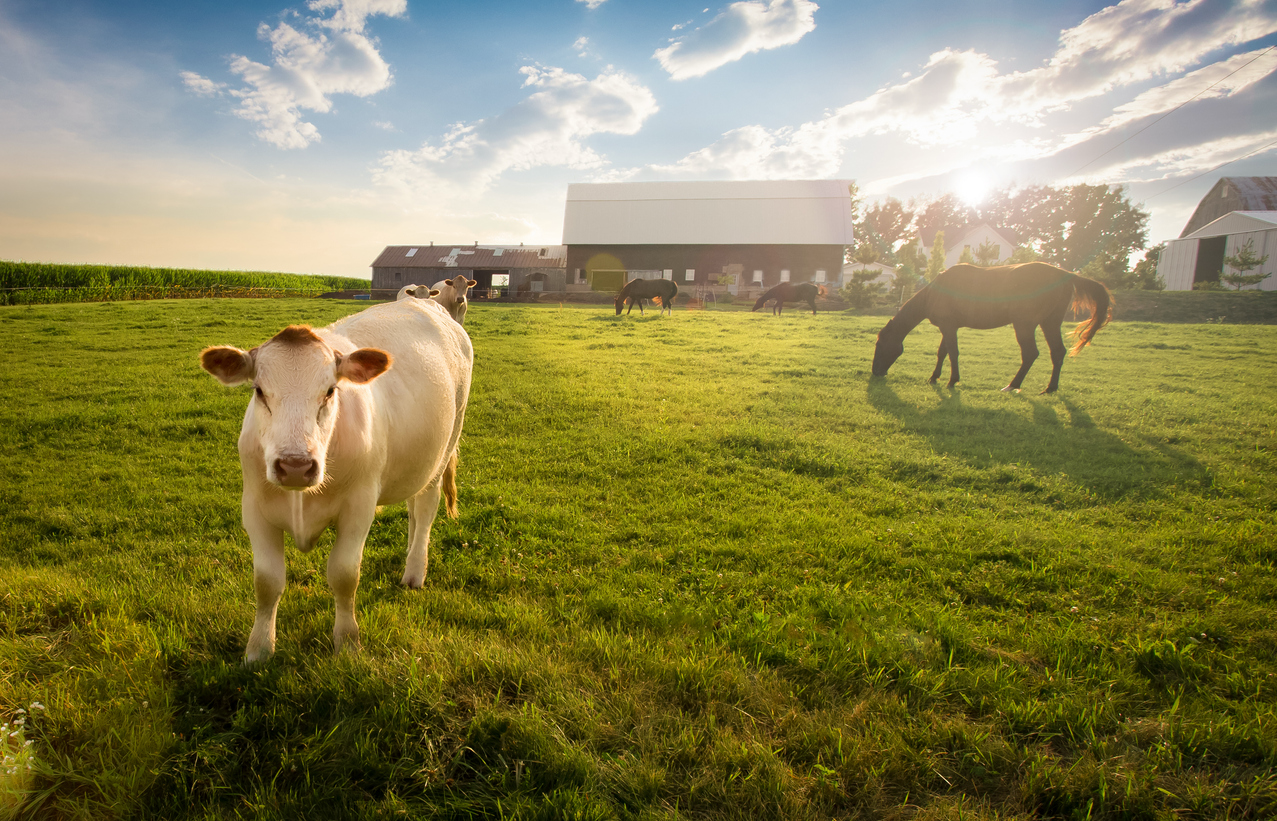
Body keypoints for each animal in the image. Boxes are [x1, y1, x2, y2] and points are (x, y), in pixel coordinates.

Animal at [200, 298, 472, 662]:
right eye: (259, 391)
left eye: (330, 391)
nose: (295, 466)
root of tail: (425, 300)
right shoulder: (254, 508)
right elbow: (266, 582)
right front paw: (259, 649)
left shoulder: (359, 508)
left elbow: (344, 576)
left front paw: (347, 643)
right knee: (414, 511)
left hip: (444, 448)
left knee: (426, 508)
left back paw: (415, 570)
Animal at [871, 262, 1112, 394]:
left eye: (880, 345)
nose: (875, 372)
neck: (935, 292)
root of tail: (1066, 275)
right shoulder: (949, 327)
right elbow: (943, 352)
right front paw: (934, 377)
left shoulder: (949, 327)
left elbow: (953, 353)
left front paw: (952, 380)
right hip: (1049, 322)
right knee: (1057, 352)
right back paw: (1050, 388)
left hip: (1025, 325)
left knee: (1030, 354)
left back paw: (1012, 385)